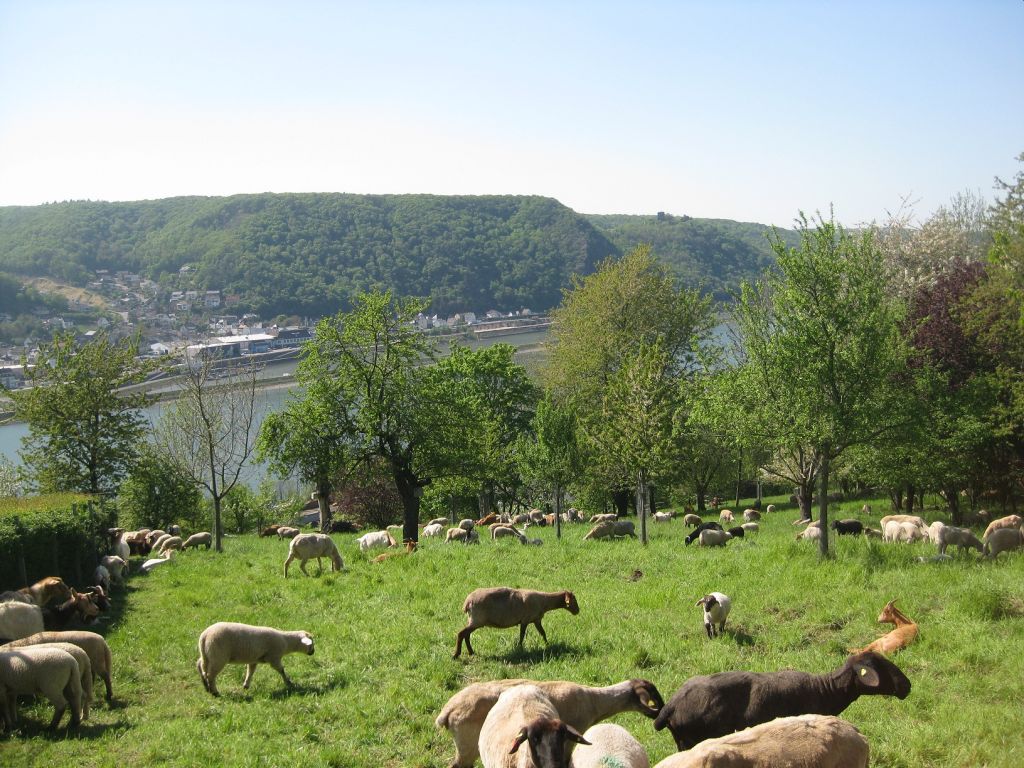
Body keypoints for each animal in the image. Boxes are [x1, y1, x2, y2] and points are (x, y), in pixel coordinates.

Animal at [434, 679, 663, 768]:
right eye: (653, 695)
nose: (661, 713)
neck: (594, 701)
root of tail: (447, 711)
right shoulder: (570, 744)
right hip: (468, 748)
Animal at [452, 585, 581, 659]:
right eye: (573, 600)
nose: (578, 611)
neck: (544, 602)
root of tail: (467, 602)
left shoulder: (536, 619)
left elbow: (543, 633)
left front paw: (547, 644)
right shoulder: (525, 620)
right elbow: (522, 635)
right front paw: (520, 648)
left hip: (474, 620)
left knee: (466, 635)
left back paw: (471, 652)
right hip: (477, 619)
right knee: (461, 633)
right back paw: (456, 654)